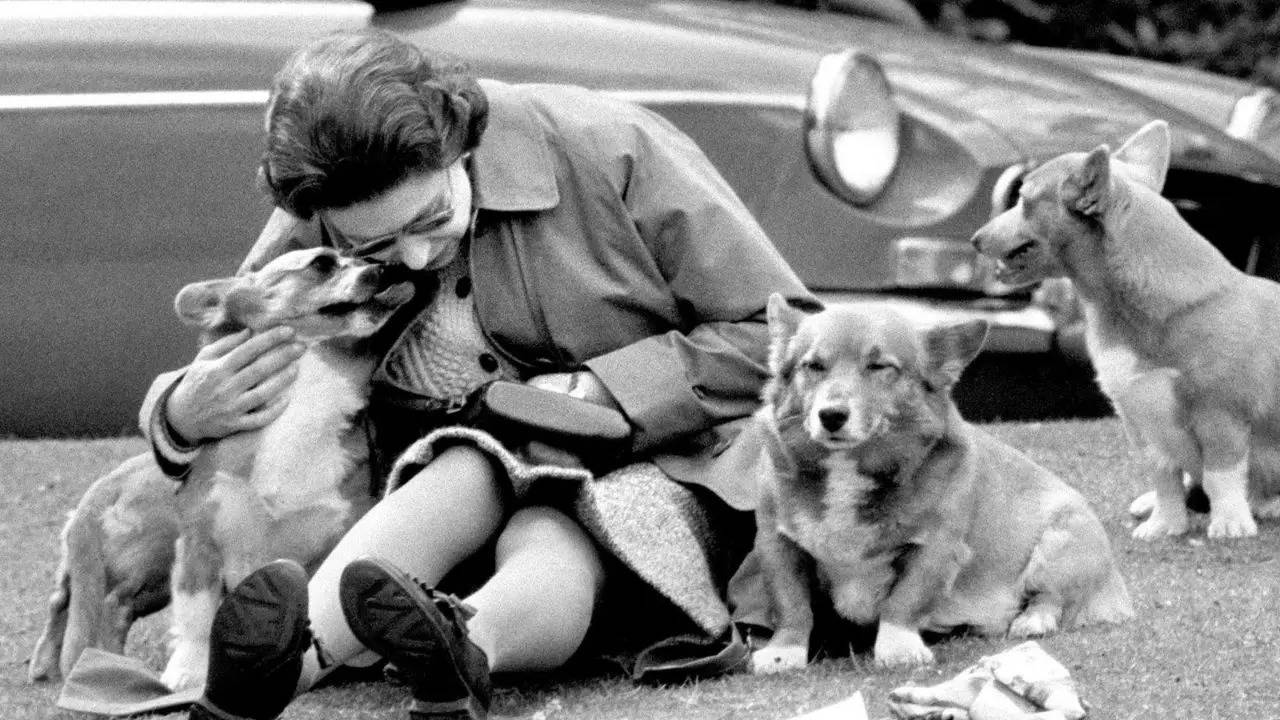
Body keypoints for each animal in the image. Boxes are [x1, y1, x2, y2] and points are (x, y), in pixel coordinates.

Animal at [747, 294, 1131, 671]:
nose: (831, 416)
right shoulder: (778, 544)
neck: (849, 469)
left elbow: (904, 602)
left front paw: (898, 649)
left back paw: (1032, 621)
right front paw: (783, 652)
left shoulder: (936, 547)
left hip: (1061, 544)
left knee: (1051, 599)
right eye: (813, 366)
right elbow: (792, 605)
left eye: (879, 366)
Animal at [967, 120, 1280, 538]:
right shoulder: (1142, 424)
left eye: (1023, 199)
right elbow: (1163, 478)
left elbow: (1220, 476)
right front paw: (1164, 525)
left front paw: (1230, 523)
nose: (974, 239)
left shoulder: (1221, 416)